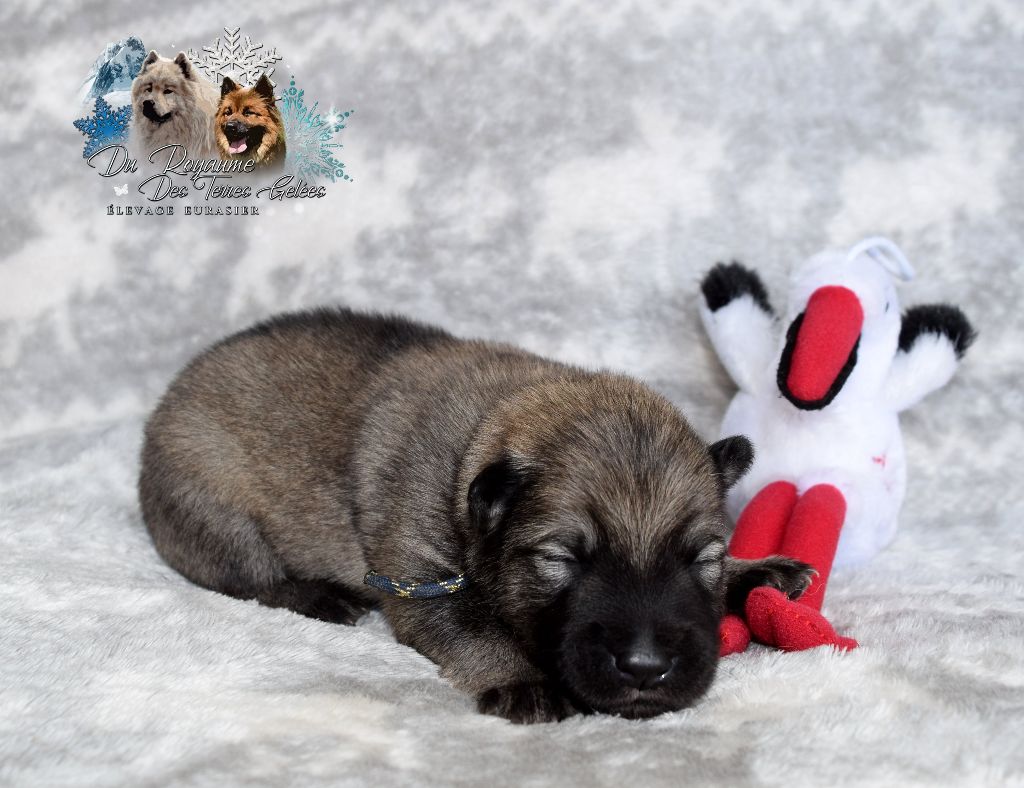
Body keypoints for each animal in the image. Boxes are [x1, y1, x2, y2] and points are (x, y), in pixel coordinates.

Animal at [138, 304, 815, 720]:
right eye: (561, 558)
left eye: (704, 557)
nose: (646, 668)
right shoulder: (419, 578)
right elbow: (471, 629)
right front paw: (521, 680)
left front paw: (760, 571)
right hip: (211, 501)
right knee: (247, 575)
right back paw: (316, 594)